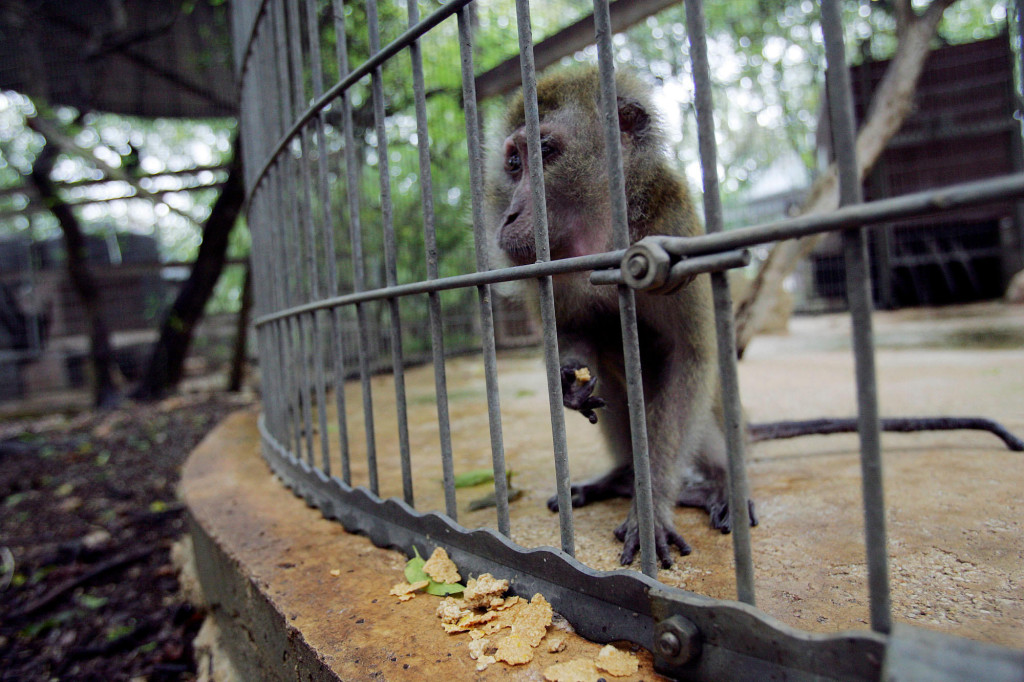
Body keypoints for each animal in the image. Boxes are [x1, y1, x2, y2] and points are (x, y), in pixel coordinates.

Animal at [479, 65, 753, 569]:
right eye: (513, 163)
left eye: (546, 153)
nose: (507, 217)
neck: (603, 232)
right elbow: (576, 334)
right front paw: (571, 376)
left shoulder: (670, 223)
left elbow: (689, 357)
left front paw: (652, 506)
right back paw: (618, 479)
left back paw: (717, 481)